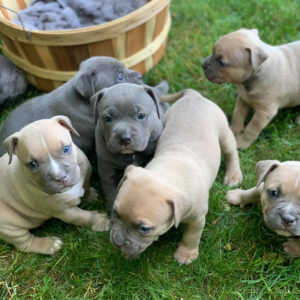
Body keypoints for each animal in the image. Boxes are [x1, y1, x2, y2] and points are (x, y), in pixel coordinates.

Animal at [0, 116, 109, 254]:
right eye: (33, 164)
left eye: (66, 149)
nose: (60, 177)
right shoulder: (65, 211)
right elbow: (84, 217)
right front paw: (100, 220)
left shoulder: (85, 174)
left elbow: (86, 187)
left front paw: (91, 195)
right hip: (9, 225)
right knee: (24, 244)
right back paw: (49, 244)